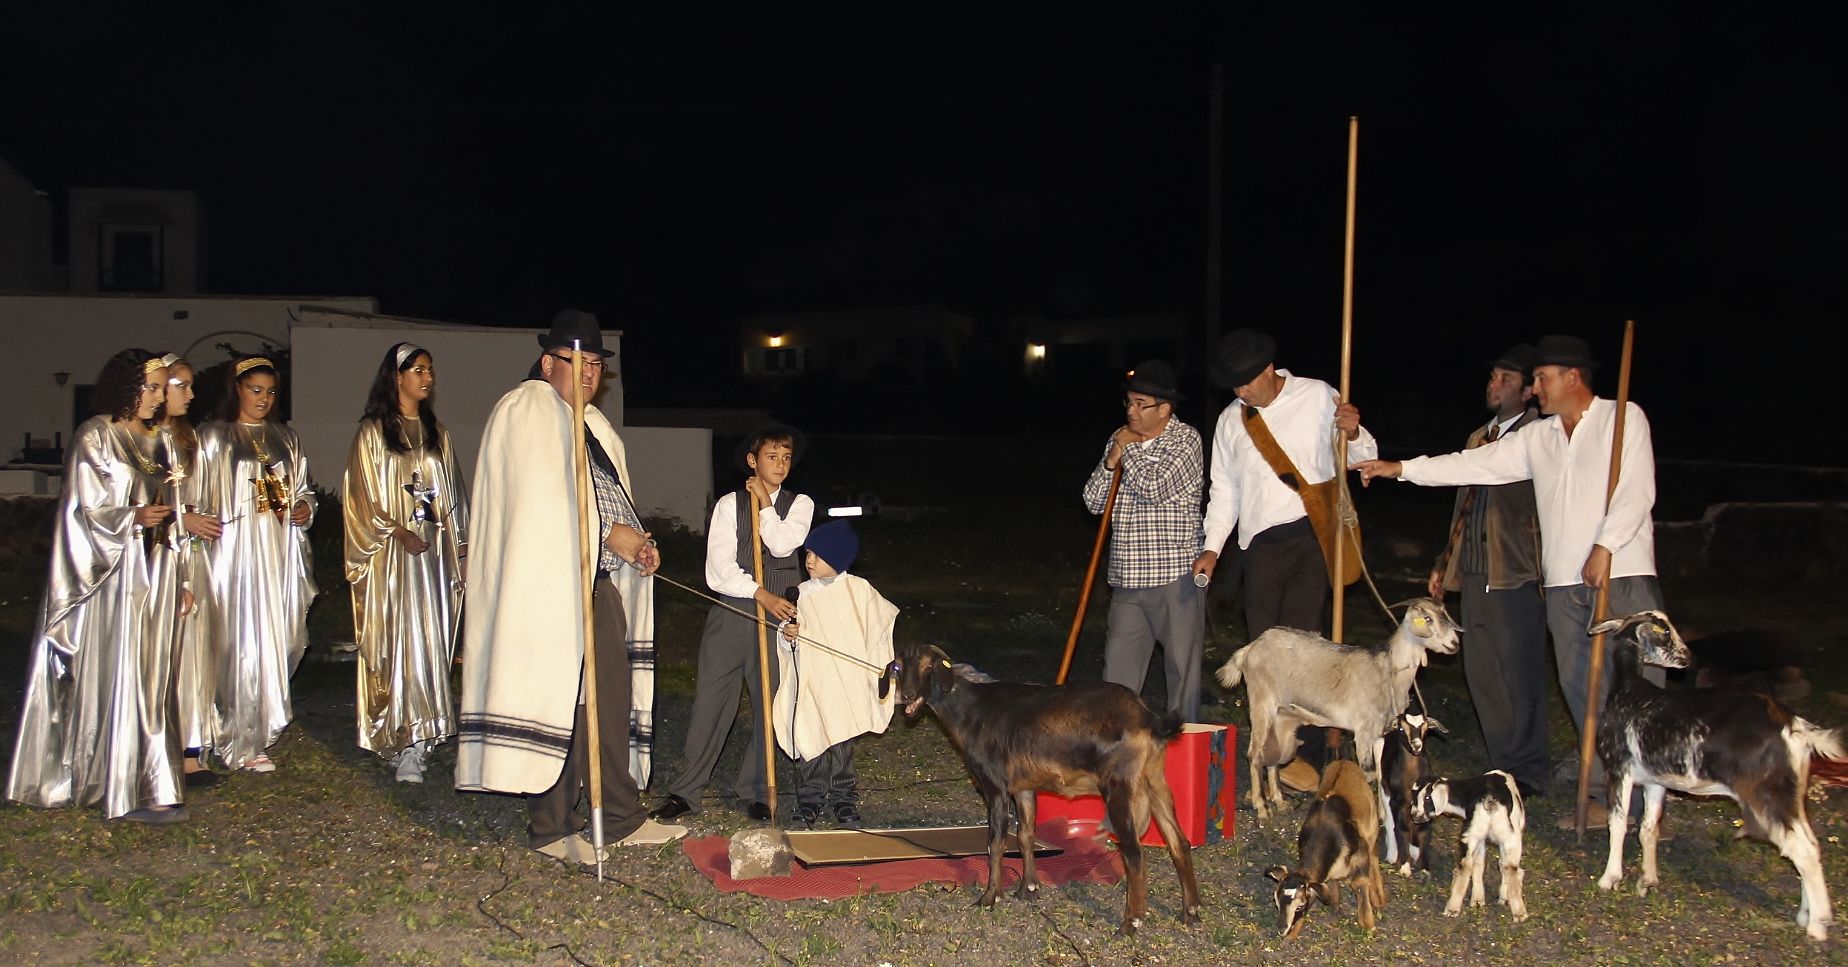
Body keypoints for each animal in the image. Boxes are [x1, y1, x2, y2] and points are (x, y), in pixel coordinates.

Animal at [887, 643, 1204, 939]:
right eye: (899, 666)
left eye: (929, 665)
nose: (907, 696)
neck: (971, 709)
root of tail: (1148, 718)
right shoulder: (1024, 789)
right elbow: (1025, 835)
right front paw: (1027, 889)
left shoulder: (996, 787)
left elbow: (995, 842)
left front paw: (990, 897)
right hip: (1155, 782)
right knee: (1179, 842)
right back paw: (1190, 912)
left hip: (1119, 787)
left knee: (1134, 852)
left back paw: (1130, 924)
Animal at [1271, 765, 1389, 939]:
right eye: (1277, 901)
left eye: (1300, 906)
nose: (1282, 930)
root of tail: (1344, 762)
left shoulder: (1360, 853)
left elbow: (1360, 882)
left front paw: (1368, 925)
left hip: (1371, 827)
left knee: (1374, 852)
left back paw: (1378, 896)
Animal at [1374, 709, 1441, 876]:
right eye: (1402, 728)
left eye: (1425, 729)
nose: (1416, 745)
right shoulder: (1397, 800)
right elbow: (1401, 827)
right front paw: (1404, 865)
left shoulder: (1425, 799)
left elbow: (1424, 829)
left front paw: (1424, 867)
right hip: (1384, 788)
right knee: (1389, 821)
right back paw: (1392, 855)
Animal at [1411, 772, 1530, 924]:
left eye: (1427, 797)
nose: (1414, 815)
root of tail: (1490, 799)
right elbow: (1484, 864)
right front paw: (1484, 899)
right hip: (1498, 835)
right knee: (1502, 867)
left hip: (1481, 833)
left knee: (1472, 865)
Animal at [1589, 613, 1848, 939]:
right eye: (1665, 632)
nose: (1686, 658)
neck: (1630, 691)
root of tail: (1792, 725)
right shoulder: (1656, 781)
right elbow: (1648, 829)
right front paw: (1648, 880)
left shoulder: (1618, 768)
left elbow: (1618, 823)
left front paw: (1609, 878)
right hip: (1790, 794)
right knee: (1809, 843)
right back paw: (1806, 915)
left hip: (1766, 795)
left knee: (1802, 850)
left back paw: (1817, 925)